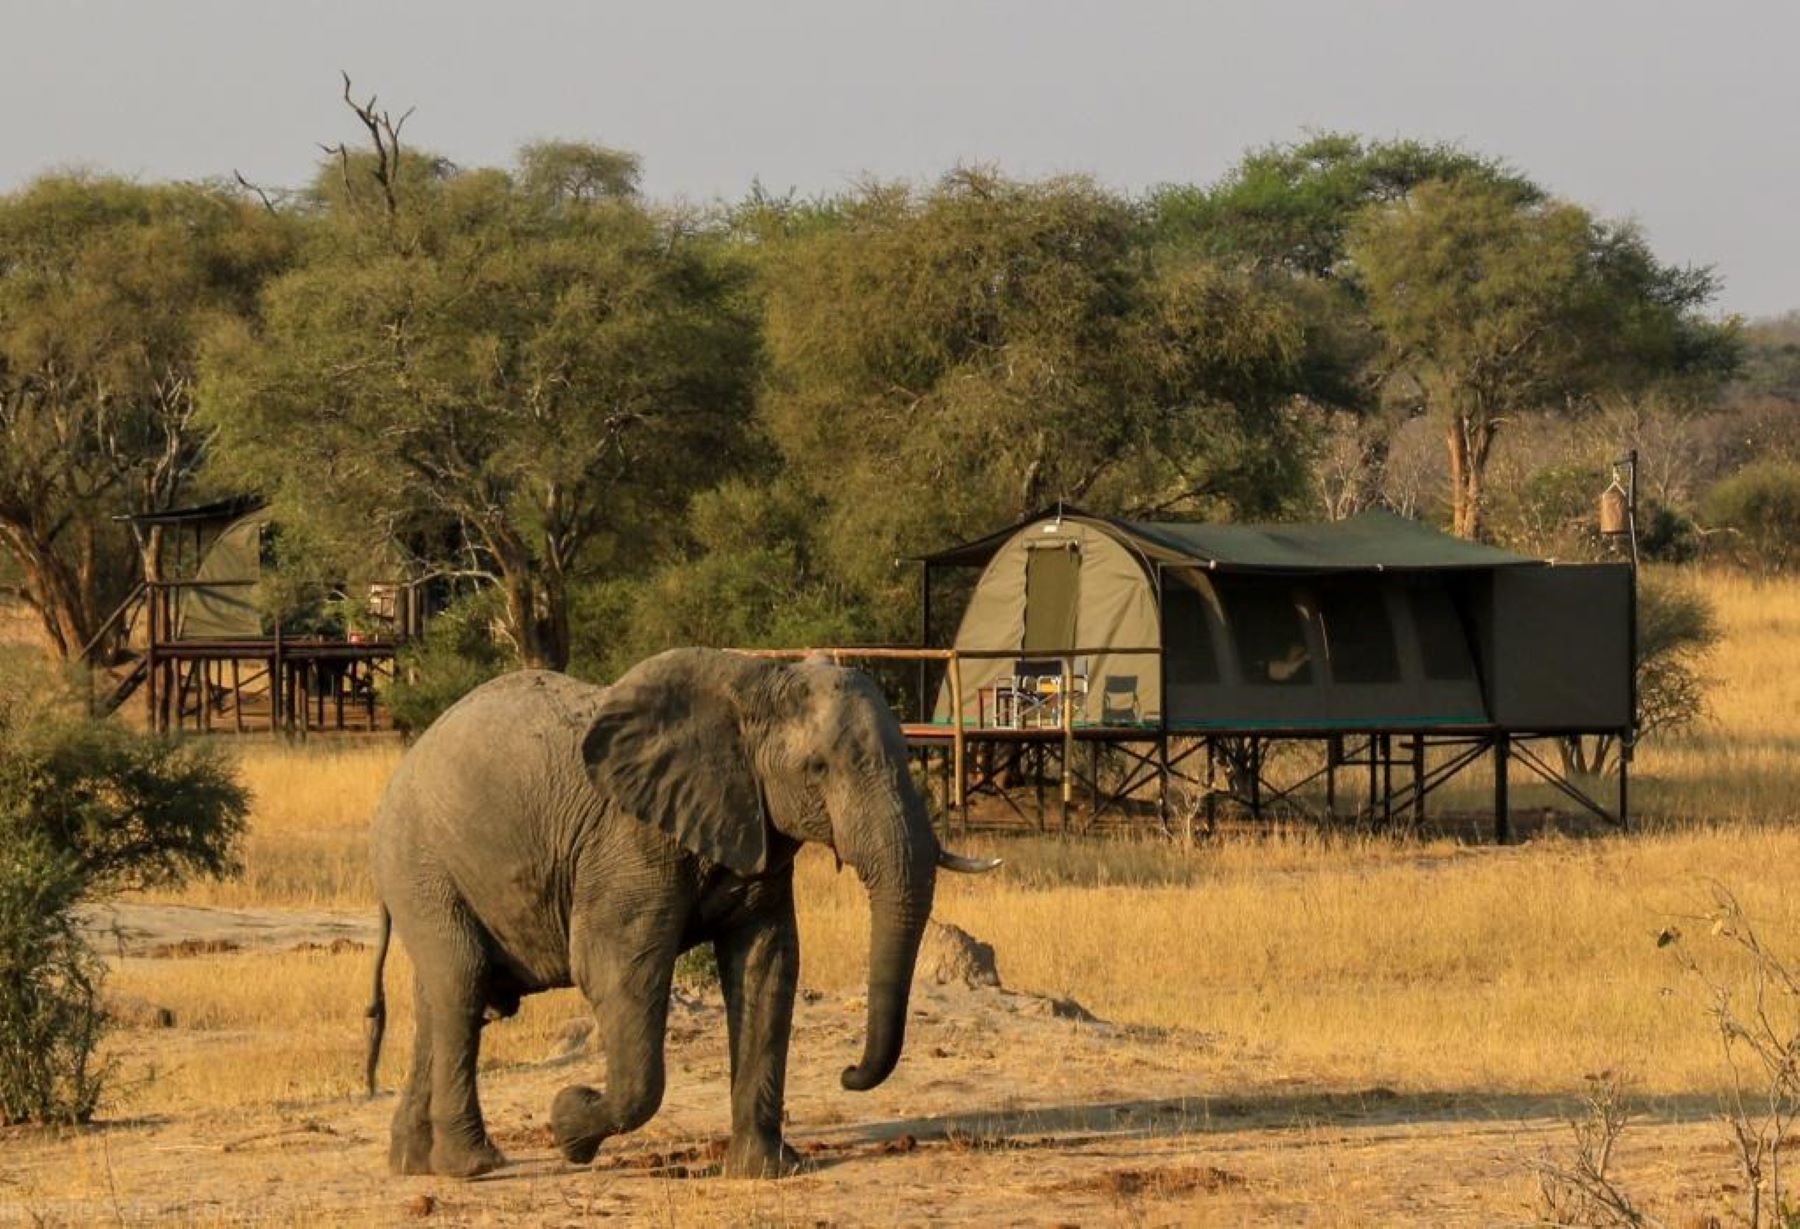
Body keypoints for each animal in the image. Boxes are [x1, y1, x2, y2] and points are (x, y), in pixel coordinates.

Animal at [361, 647, 1000, 1180]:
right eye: (818, 769)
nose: (848, 1074)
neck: (757, 684)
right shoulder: (627, 842)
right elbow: (616, 971)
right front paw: (569, 1123)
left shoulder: (755, 827)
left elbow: (766, 967)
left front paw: (766, 1172)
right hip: (420, 864)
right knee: (462, 985)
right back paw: (473, 1166)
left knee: (441, 998)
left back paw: (413, 1164)